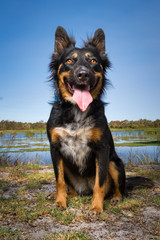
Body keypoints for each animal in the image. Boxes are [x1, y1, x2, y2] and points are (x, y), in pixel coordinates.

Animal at [47, 26, 125, 214]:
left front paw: (96, 206)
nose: (83, 74)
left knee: (117, 188)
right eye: (69, 60)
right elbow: (59, 181)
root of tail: (84, 190)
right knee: (72, 189)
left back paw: (116, 198)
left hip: (115, 163)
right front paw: (60, 202)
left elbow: (100, 183)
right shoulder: (55, 149)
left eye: (93, 61)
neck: (76, 109)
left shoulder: (102, 150)